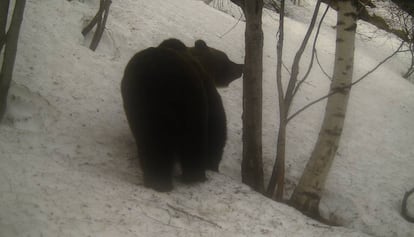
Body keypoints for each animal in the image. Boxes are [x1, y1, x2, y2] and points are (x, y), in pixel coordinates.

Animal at [120, 38, 243, 192]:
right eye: (225, 58)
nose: (241, 67)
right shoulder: (208, 91)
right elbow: (217, 129)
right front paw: (212, 164)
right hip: (186, 104)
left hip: (147, 106)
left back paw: (161, 180)